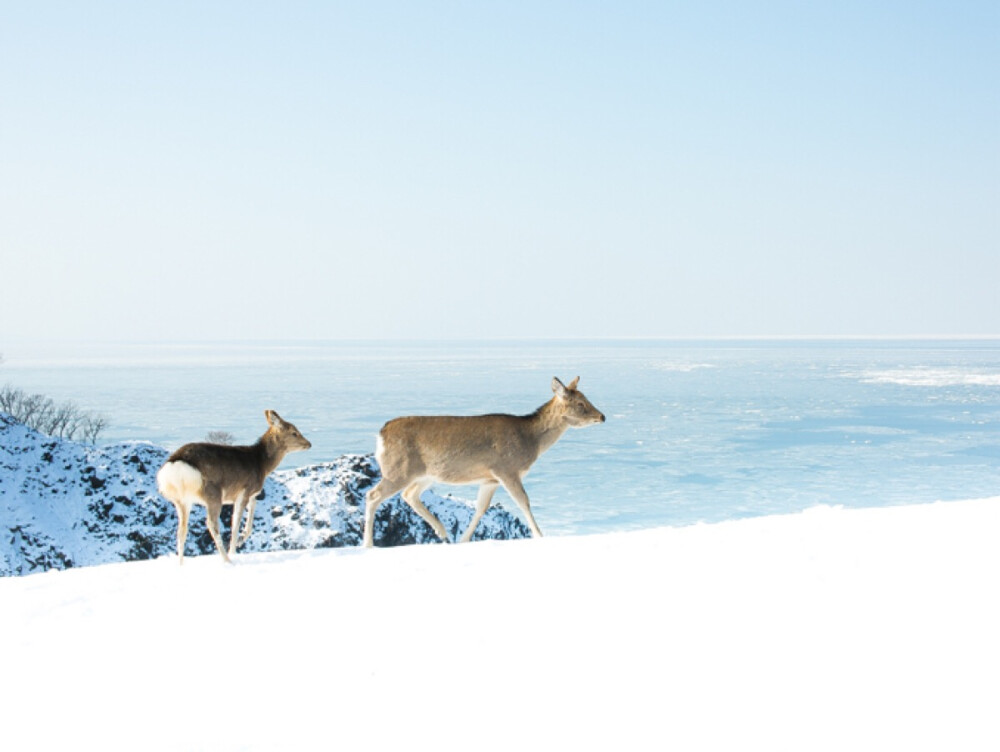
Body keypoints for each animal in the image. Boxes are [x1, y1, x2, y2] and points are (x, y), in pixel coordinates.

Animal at [154, 412, 310, 564]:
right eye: (294, 432)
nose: (309, 444)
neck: (262, 465)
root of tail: (175, 465)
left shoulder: (252, 494)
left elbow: (250, 519)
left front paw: (241, 540)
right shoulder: (244, 491)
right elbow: (235, 525)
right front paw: (234, 551)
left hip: (182, 500)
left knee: (181, 531)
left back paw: (181, 564)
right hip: (213, 494)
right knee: (211, 524)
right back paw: (227, 560)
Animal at [366, 376, 604, 548]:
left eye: (586, 398)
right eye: (581, 403)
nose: (602, 416)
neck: (531, 441)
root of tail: (381, 434)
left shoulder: (490, 479)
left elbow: (481, 508)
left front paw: (463, 540)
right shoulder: (506, 469)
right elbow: (523, 502)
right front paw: (540, 535)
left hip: (425, 474)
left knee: (409, 495)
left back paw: (443, 533)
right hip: (398, 469)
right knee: (373, 495)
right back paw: (368, 544)